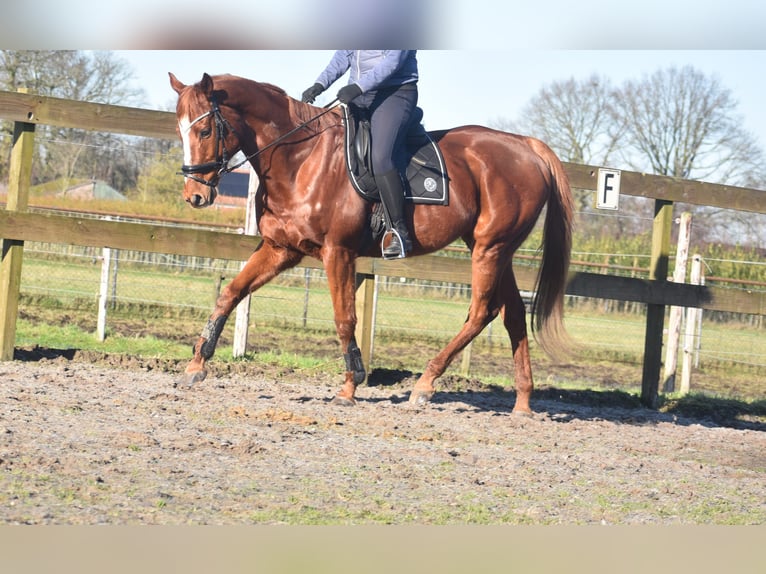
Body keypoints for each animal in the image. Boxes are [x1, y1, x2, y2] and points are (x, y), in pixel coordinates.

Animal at [170, 73, 576, 414]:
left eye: (204, 130)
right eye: (180, 129)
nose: (194, 196)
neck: (300, 159)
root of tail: (526, 146)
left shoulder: (338, 252)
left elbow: (344, 318)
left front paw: (350, 386)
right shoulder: (281, 248)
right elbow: (231, 293)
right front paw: (196, 364)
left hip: (490, 248)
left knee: (482, 312)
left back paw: (425, 384)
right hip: (496, 249)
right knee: (513, 315)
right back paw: (522, 402)